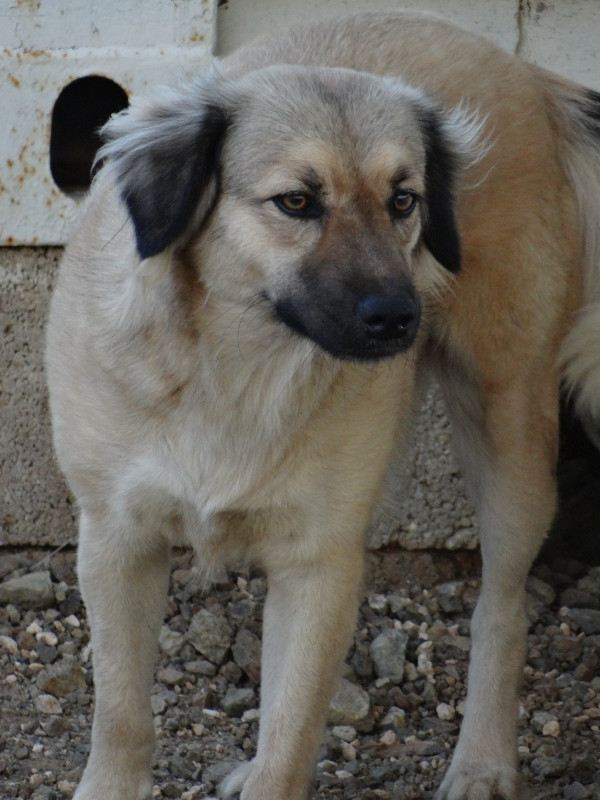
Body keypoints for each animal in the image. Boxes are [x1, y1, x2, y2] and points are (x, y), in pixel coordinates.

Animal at [46, 11, 600, 800]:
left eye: (403, 200)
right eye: (298, 202)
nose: (400, 318)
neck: (236, 370)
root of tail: (525, 72)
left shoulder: (321, 561)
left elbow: (292, 735)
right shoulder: (118, 539)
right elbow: (122, 714)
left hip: (509, 434)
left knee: (503, 608)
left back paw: (484, 762)